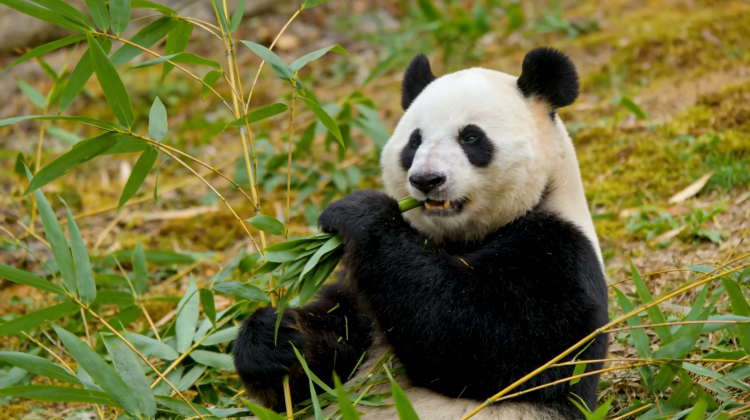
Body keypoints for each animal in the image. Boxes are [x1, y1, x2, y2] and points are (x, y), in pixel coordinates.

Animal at [233, 47, 609, 420]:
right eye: (414, 142)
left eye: (471, 137)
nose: (427, 180)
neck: (461, 237)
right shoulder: (361, 294)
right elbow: (331, 354)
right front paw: (273, 338)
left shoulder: (558, 255)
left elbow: (485, 337)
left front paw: (359, 212)